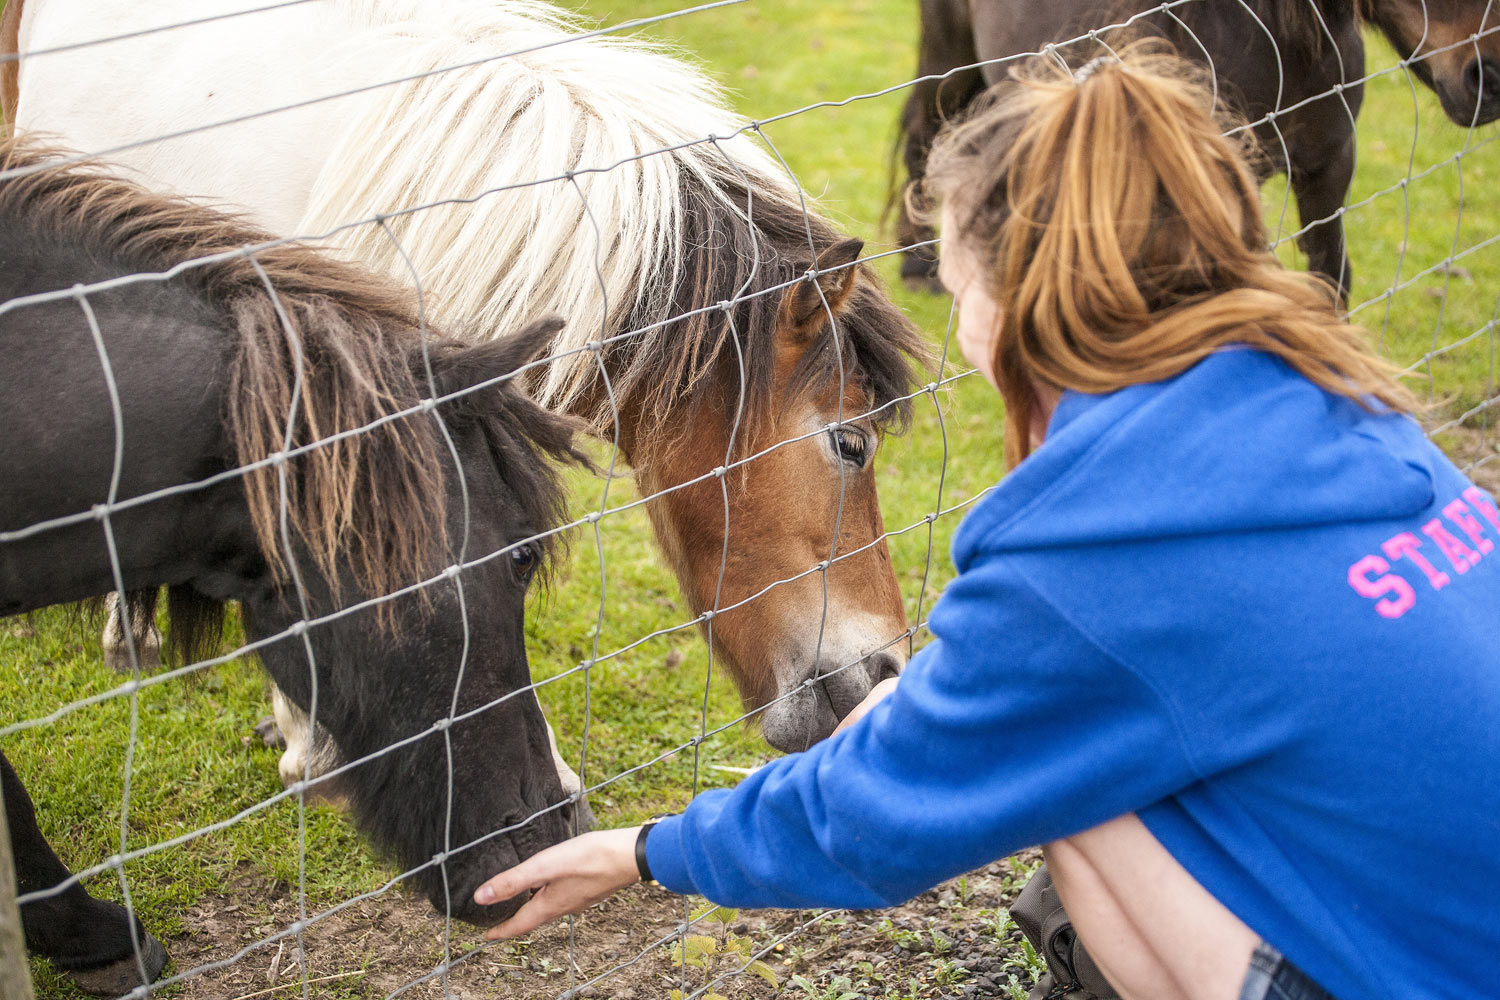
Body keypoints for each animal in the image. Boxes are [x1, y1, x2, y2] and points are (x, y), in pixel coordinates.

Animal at [894, 0, 1494, 296]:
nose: (1488, 76)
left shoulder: (1331, 166)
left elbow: (1329, 280)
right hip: (951, 56)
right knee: (925, 137)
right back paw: (920, 267)